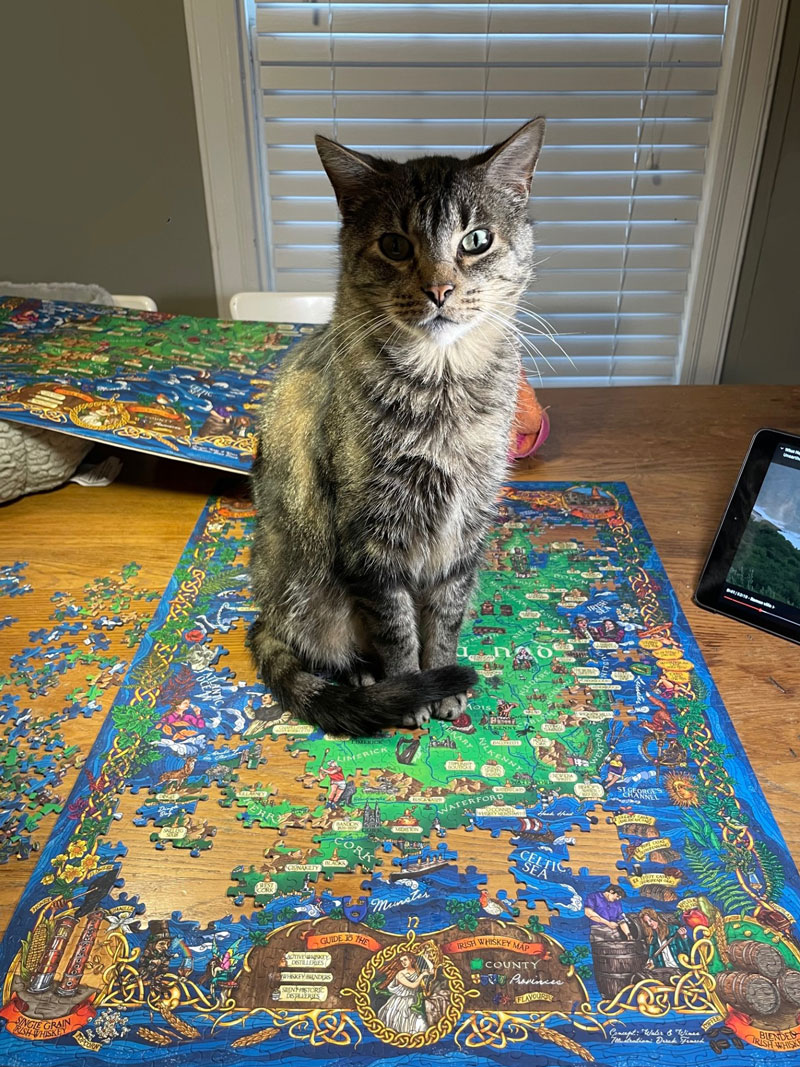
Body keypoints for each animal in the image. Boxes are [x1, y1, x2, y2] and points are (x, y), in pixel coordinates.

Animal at [247, 114, 550, 734]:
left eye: (476, 240)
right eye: (394, 245)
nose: (439, 290)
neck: (444, 388)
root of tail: (263, 609)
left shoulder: (464, 532)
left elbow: (445, 620)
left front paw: (445, 686)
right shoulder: (372, 542)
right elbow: (397, 630)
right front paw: (411, 692)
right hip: (311, 599)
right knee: (327, 651)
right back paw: (367, 678)